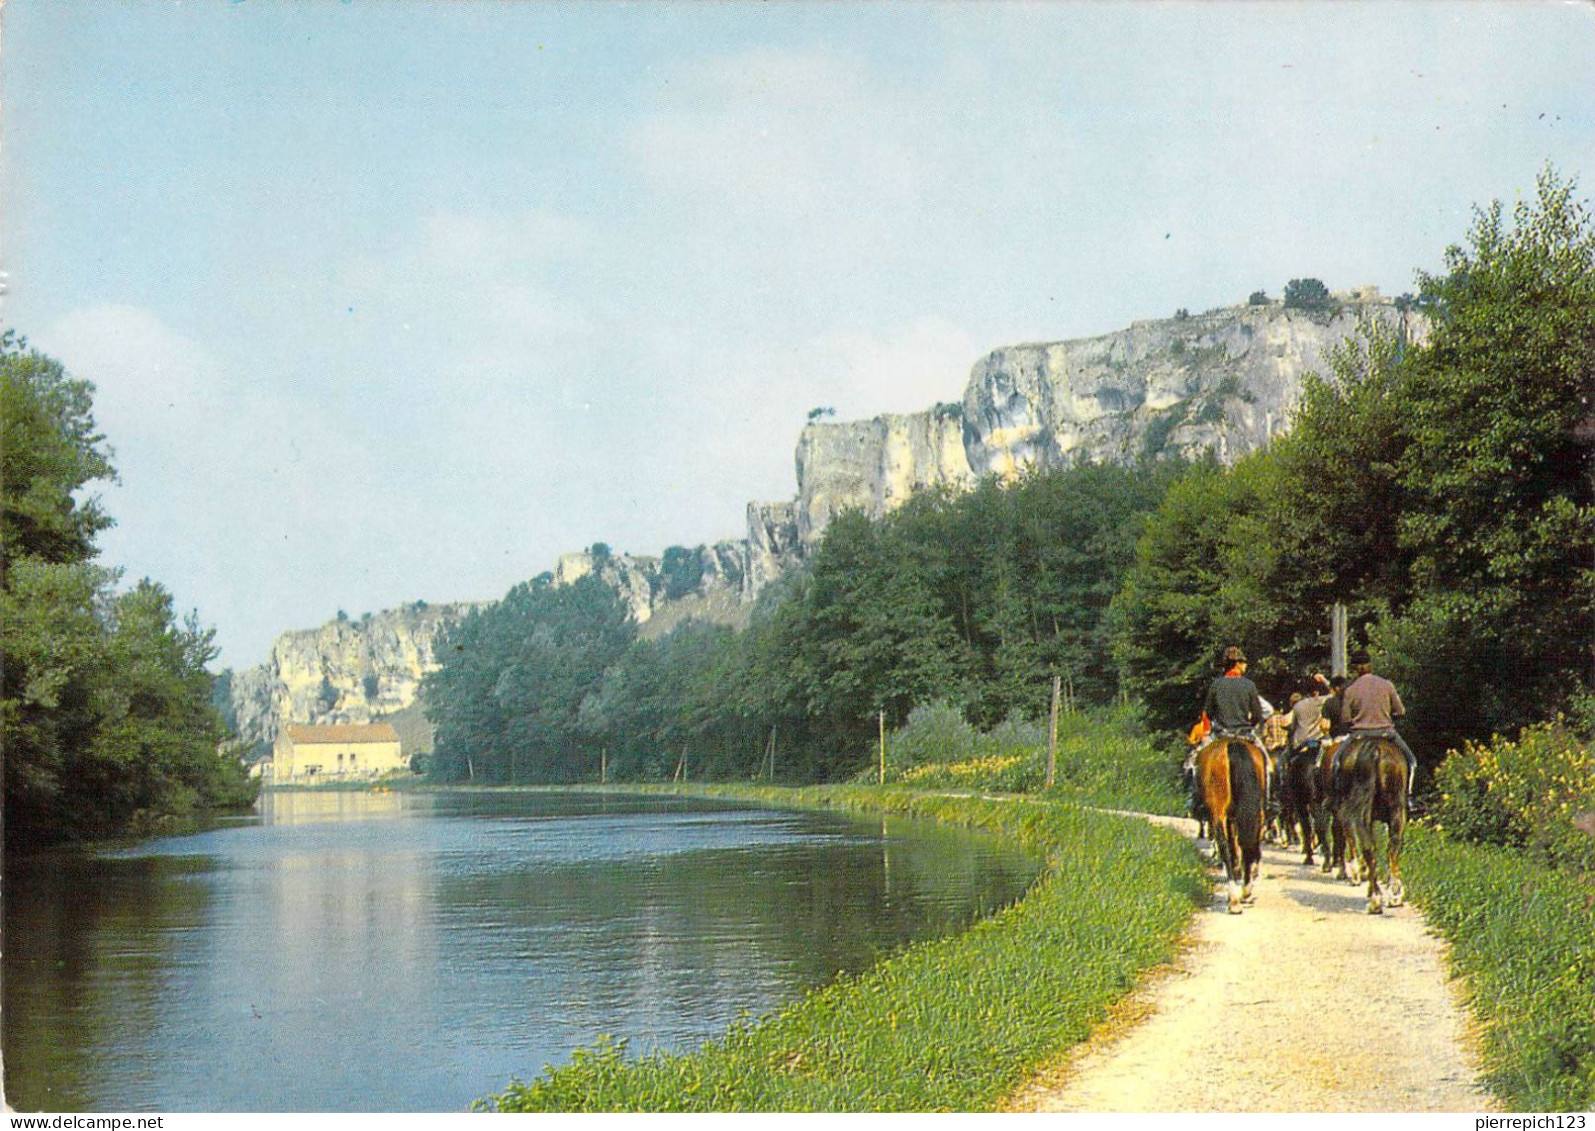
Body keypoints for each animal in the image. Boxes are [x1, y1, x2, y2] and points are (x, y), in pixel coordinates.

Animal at [1199, 736, 1269, 912]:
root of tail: (1233, 745)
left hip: (1220, 812)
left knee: (1227, 846)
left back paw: (1235, 897)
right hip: (1254, 812)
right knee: (1248, 844)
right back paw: (1244, 892)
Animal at [1333, 736, 1409, 912]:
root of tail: (1376, 750)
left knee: (1367, 847)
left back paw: (1375, 898)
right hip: (1397, 810)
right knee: (1391, 848)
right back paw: (1393, 895)